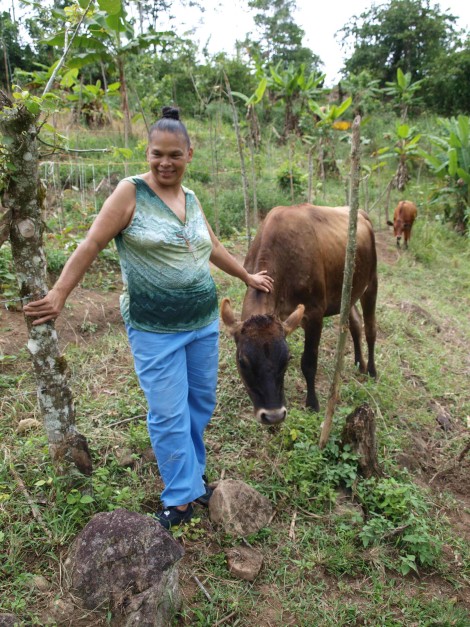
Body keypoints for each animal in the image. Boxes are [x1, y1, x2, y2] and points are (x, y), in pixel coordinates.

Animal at [220, 204, 378, 424]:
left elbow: (309, 362)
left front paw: (312, 404)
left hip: (371, 282)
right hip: (348, 291)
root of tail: (360, 213)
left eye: (287, 358)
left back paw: (371, 370)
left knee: (371, 328)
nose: (273, 415)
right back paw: (358, 363)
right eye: (242, 361)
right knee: (355, 323)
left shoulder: (314, 313)